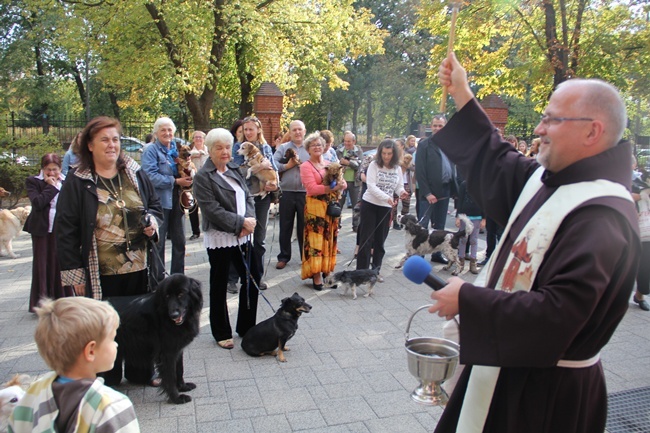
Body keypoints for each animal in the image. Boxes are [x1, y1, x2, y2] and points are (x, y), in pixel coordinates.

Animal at [105, 274, 201, 402]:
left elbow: (179, 369)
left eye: (181, 294)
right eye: (167, 296)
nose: (173, 315)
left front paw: (183, 387)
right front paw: (176, 398)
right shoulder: (167, 353)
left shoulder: (177, 349)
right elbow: (171, 376)